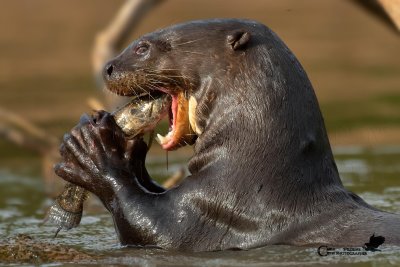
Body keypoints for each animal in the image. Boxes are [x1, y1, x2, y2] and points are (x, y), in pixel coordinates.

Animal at [54, 18, 400, 251]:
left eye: (142, 47)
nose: (108, 67)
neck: (256, 170)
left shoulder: (217, 210)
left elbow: (152, 228)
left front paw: (92, 149)